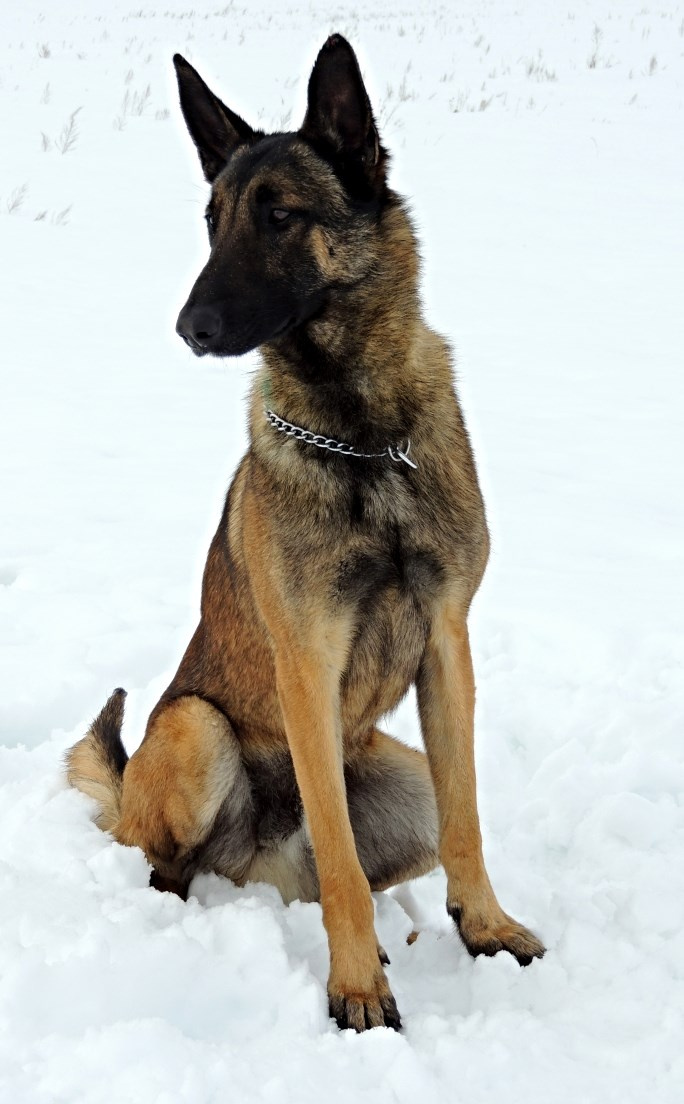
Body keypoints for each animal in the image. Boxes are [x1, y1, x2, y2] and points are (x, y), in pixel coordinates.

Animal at [66, 34, 544, 1032]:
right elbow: (342, 858)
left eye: (280, 215)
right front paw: (356, 987)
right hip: (196, 728)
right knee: (171, 858)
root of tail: (258, 866)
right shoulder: (307, 662)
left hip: (401, 779)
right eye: (211, 223)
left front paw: (484, 927)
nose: (189, 327)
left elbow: (467, 822)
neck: (362, 436)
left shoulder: (447, 644)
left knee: (353, 856)